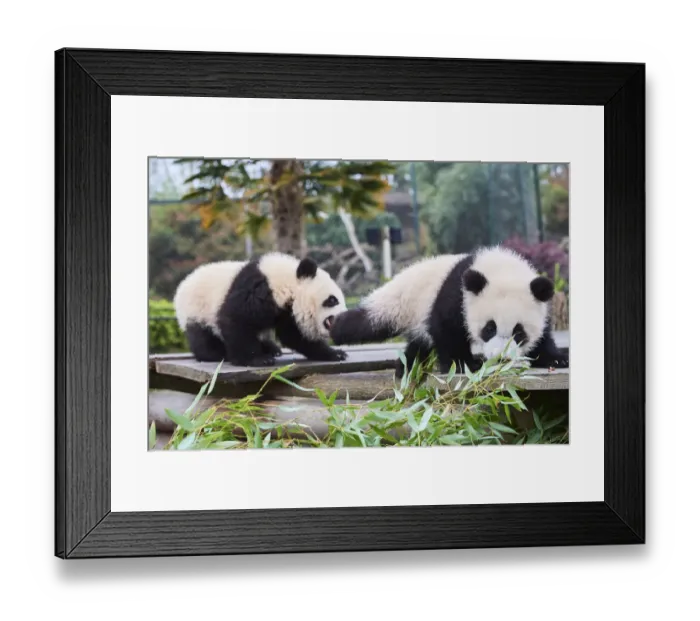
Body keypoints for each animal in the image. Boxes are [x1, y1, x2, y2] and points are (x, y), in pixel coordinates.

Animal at [173, 252, 348, 367]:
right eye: (332, 300)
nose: (343, 317)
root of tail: (183, 285)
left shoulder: (287, 312)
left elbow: (295, 335)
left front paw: (335, 353)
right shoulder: (256, 291)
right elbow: (236, 320)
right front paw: (256, 359)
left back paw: (271, 348)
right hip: (197, 310)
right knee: (203, 336)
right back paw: (216, 353)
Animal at [330, 246, 569, 377]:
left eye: (519, 333)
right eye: (489, 328)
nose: (500, 358)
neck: (501, 268)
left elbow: (543, 337)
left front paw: (556, 359)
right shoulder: (457, 294)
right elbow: (447, 330)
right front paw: (465, 365)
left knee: (418, 342)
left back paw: (407, 366)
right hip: (406, 304)